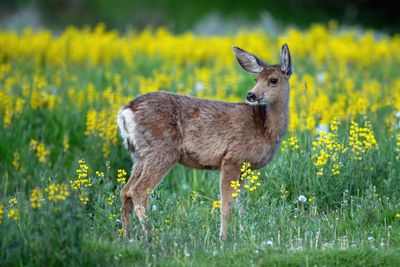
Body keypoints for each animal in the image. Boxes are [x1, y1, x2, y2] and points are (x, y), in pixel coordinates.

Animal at [117, 43, 292, 241]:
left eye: (273, 80)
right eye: (256, 78)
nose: (251, 95)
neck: (265, 128)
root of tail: (125, 113)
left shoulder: (244, 167)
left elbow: (241, 205)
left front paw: (242, 233)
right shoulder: (232, 158)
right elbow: (226, 205)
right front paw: (223, 238)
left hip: (139, 154)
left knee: (125, 191)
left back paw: (127, 236)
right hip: (161, 150)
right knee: (138, 191)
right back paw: (153, 235)